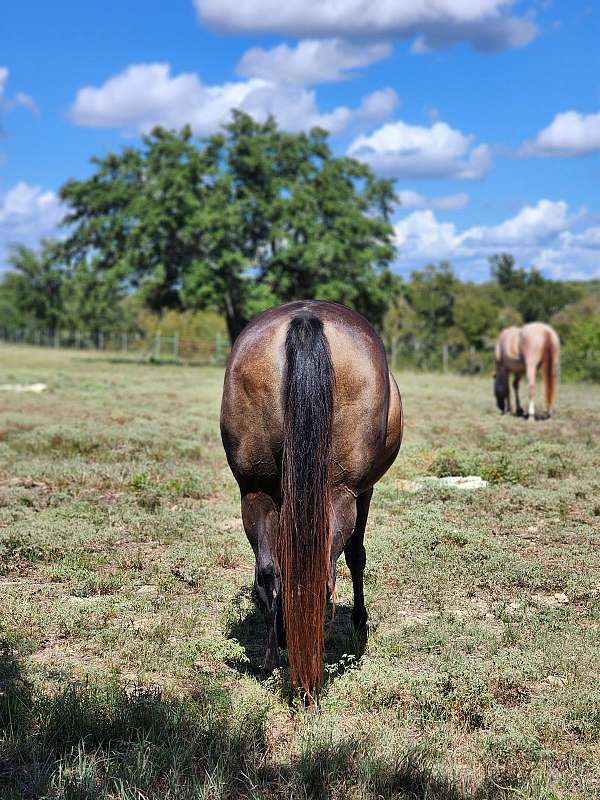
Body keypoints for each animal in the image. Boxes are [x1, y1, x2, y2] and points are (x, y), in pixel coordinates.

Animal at [220, 300, 404, 700]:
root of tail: (305, 318)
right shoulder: (364, 492)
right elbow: (356, 556)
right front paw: (360, 623)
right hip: (340, 494)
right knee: (326, 575)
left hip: (255, 491)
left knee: (269, 572)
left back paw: (275, 657)